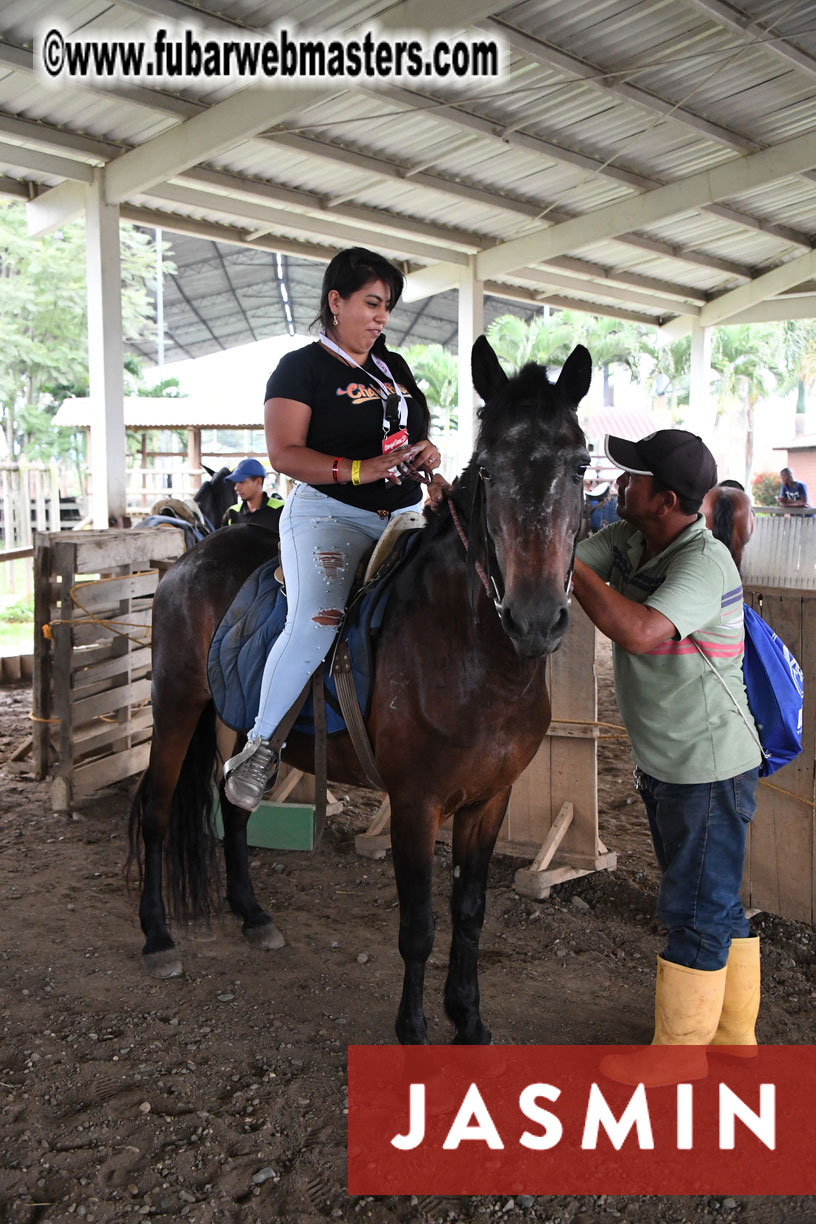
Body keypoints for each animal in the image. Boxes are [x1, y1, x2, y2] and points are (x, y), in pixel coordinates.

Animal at [132, 335, 594, 1042]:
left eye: (580, 464)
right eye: (488, 470)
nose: (536, 618)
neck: (474, 654)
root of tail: (190, 558)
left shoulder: (490, 800)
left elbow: (469, 909)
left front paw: (468, 1018)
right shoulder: (415, 803)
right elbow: (419, 925)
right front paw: (414, 1029)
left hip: (236, 722)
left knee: (232, 804)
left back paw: (252, 915)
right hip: (177, 704)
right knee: (156, 810)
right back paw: (158, 938)